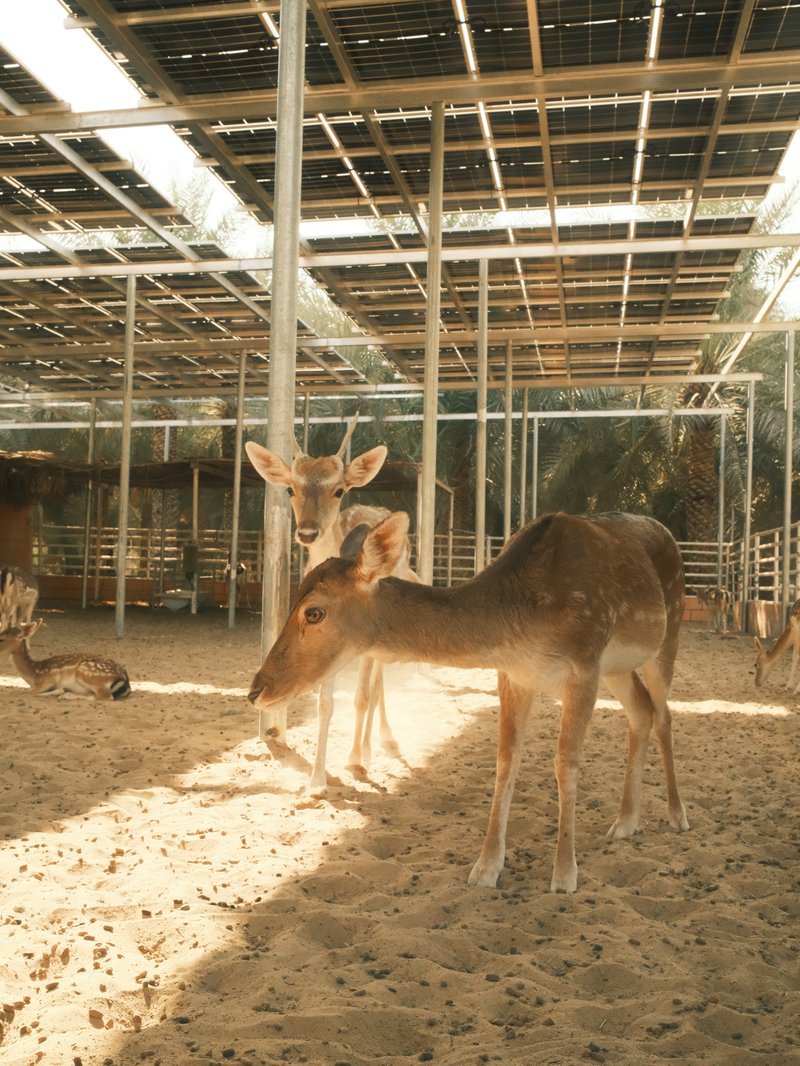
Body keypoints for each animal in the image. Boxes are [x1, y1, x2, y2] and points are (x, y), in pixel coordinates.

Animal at [0, 619, 131, 700]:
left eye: (2, 639)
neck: (34, 674)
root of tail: (125, 680)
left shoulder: (48, 679)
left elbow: (26, 692)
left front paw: (59, 692)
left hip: (87, 672)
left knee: (105, 696)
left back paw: (66, 695)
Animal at [245, 413, 417, 794]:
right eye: (291, 488)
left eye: (338, 489)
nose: (308, 532)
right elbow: (325, 703)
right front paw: (316, 781)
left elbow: (363, 695)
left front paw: (355, 760)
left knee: (376, 684)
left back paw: (379, 744)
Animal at [248, 510, 689, 894]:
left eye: (313, 612)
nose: (256, 690)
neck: (526, 623)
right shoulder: (514, 674)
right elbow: (506, 759)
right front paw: (485, 869)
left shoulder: (584, 664)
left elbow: (566, 761)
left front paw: (565, 875)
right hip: (617, 668)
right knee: (641, 713)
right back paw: (626, 822)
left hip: (667, 635)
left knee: (664, 714)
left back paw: (676, 815)